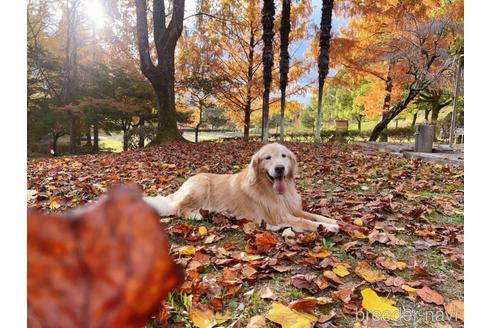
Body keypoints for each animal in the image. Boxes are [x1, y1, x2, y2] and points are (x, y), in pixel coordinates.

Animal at [144, 144, 340, 233]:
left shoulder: (291, 208)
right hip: (201, 185)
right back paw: (198, 215)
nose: (280, 168)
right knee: (178, 209)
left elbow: (312, 215)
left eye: (284, 156)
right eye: (268, 158)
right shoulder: (278, 216)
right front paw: (328, 227)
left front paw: (332, 220)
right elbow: (305, 222)